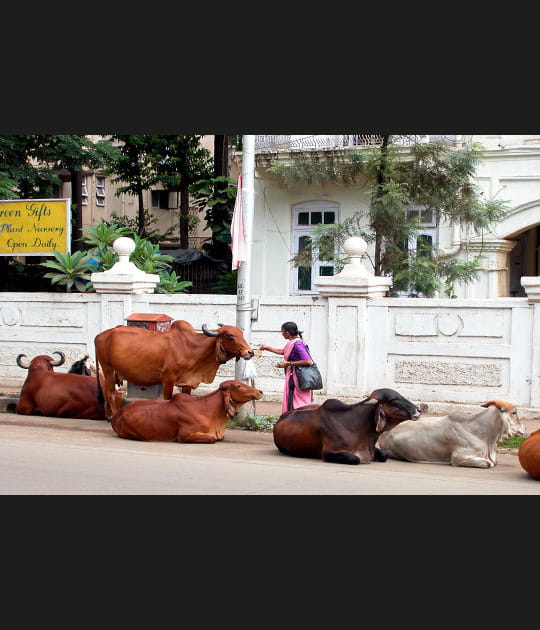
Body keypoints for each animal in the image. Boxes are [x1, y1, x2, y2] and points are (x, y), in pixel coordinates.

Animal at [95, 320, 255, 420]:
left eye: (241, 334)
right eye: (230, 336)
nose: (250, 352)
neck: (194, 348)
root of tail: (100, 335)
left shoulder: (188, 381)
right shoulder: (168, 378)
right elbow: (167, 399)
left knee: (106, 392)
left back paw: (108, 416)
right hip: (108, 369)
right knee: (110, 393)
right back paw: (114, 416)